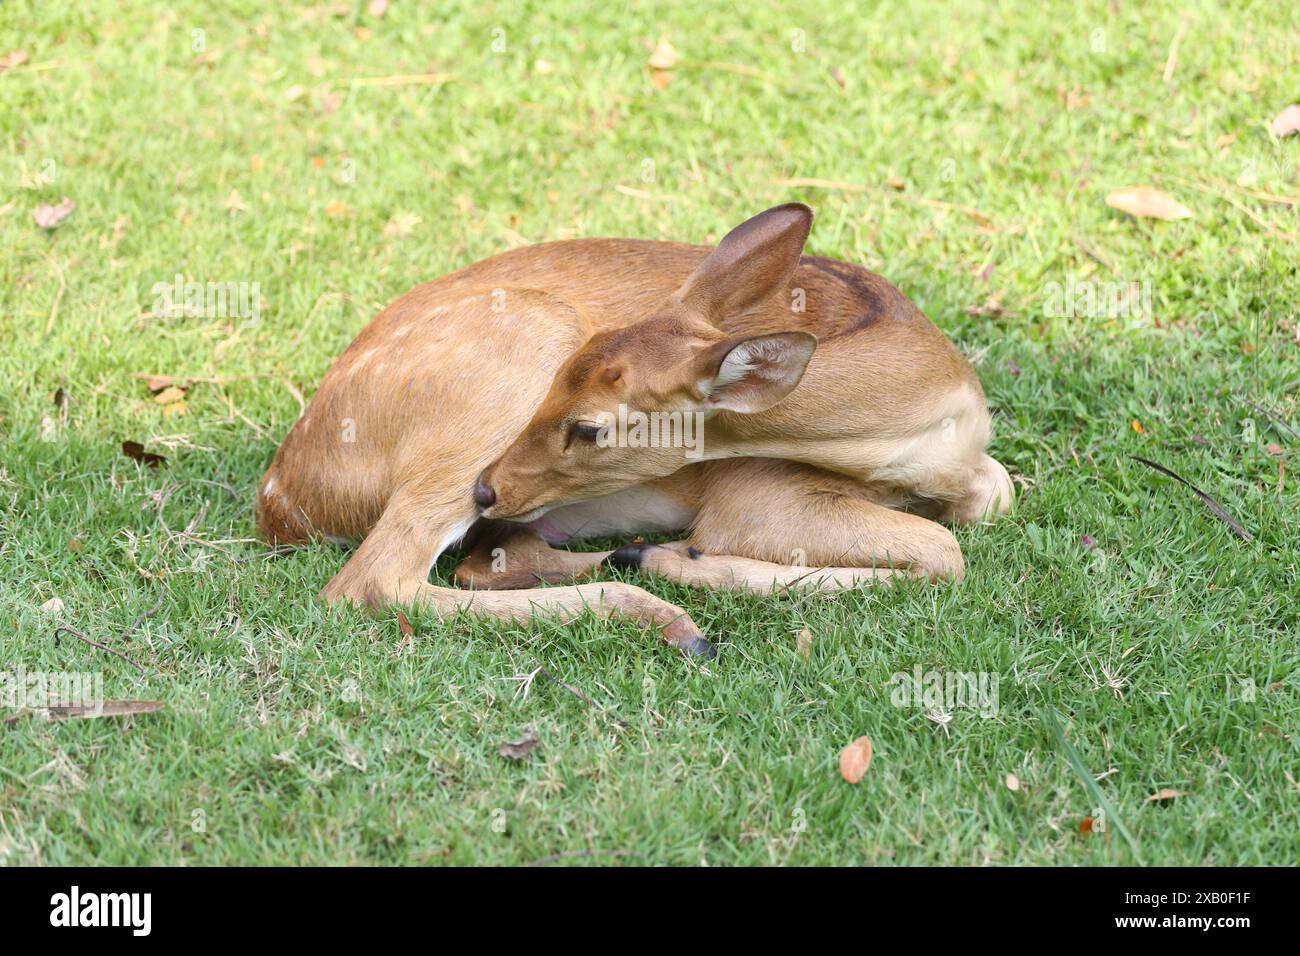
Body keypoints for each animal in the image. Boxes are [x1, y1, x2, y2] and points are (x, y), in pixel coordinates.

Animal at [256, 204, 1013, 658]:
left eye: (590, 427)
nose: (487, 490)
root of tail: (281, 501)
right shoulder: (751, 492)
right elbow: (944, 550)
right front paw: (691, 560)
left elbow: (990, 500)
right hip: (521, 346)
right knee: (374, 580)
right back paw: (666, 609)